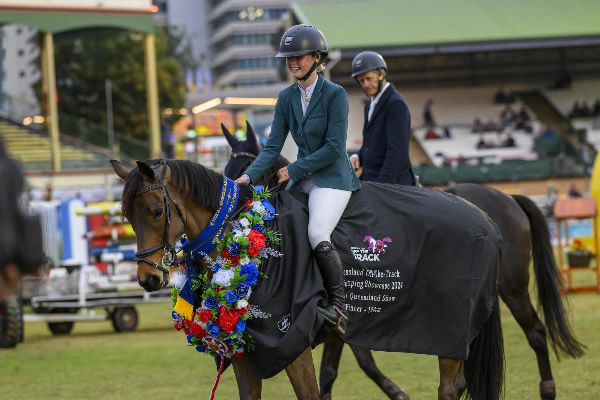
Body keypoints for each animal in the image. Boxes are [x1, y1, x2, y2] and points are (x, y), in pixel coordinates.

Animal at [110, 157, 504, 400]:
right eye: (126, 215)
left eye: (155, 211)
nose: (147, 279)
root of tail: (485, 219)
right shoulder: (241, 349)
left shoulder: (292, 344)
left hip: (448, 333)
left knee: (449, 388)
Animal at [223, 122, 584, 400]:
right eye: (225, 172)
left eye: (244, 174)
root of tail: (505, 197)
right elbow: (352, 365)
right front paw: (396, 391)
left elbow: (339, 369)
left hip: (513, 287)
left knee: (535, 332)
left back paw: (548, 389)